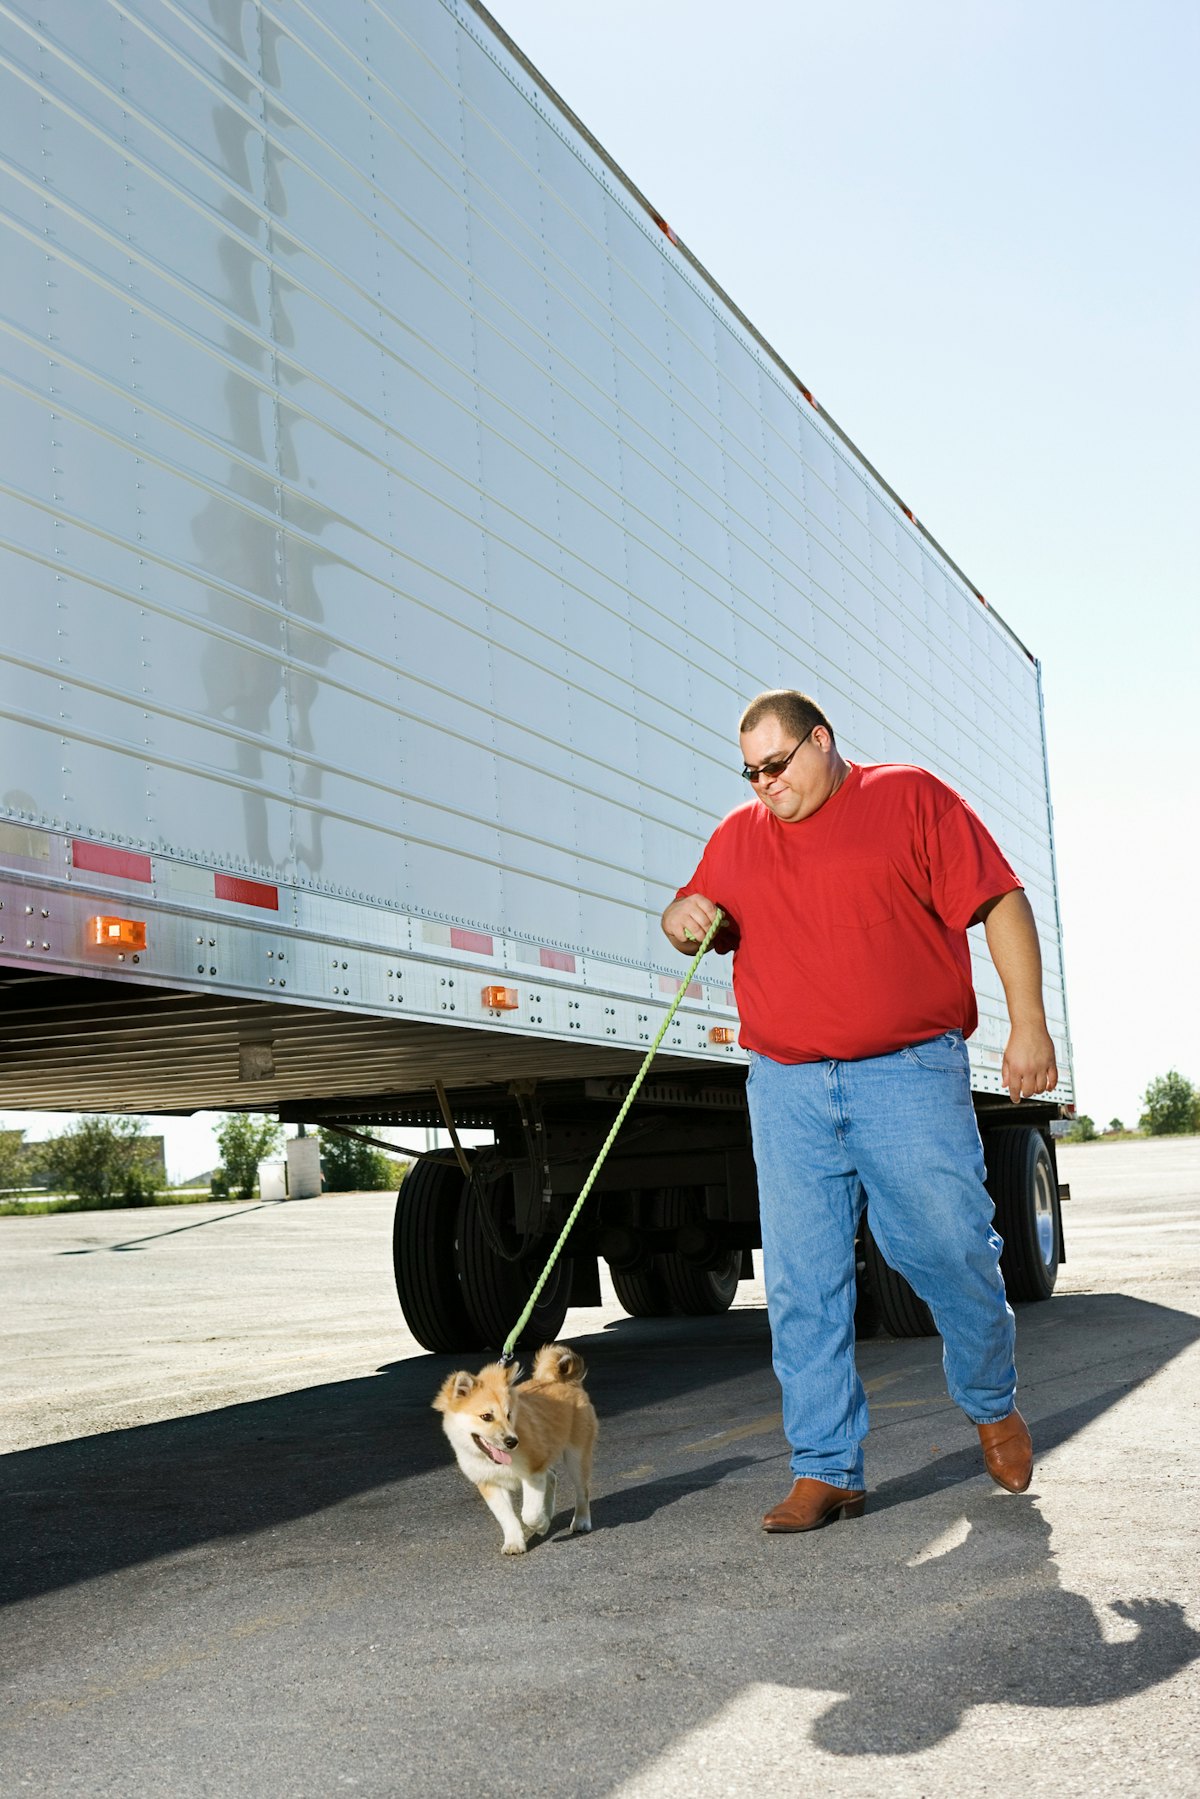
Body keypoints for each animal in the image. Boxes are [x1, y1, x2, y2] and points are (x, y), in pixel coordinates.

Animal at [433, 1345, 597, 1554]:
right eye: (486, 1416)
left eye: (509, 1414)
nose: (512, 1442)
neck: (492, 1460)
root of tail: (565, 1381)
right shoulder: (490, 1483)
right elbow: (506, 1517)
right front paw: (514, 1542)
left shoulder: (533, 1472)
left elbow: (529, 1513)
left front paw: (541, 1525)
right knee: (552, 1477)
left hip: (576, 1455)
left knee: (582, 1490)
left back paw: (581, 1521)